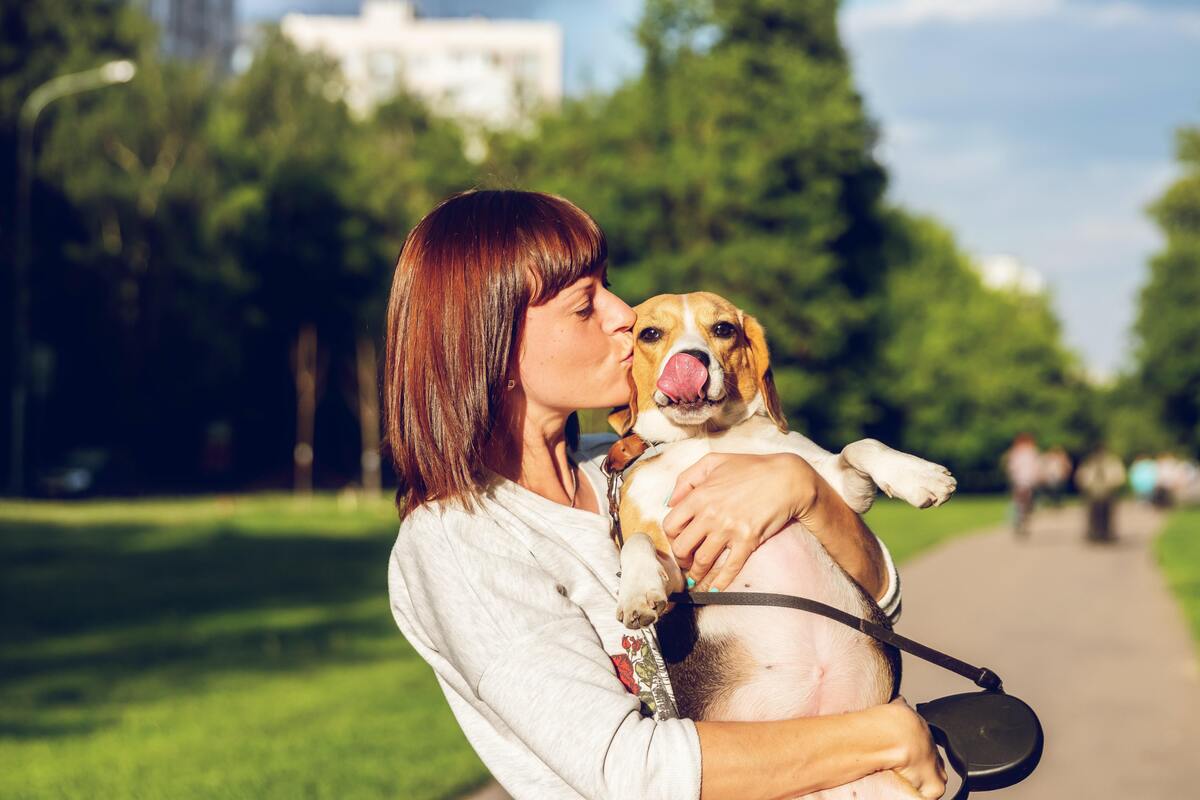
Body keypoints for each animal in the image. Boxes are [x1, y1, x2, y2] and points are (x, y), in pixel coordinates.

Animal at [609, 293, 955, 800]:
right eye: (650, 333)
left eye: (724, 329)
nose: (691, 361)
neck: (706, 438)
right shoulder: (676, 568)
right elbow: (635, 542)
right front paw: (637, 593)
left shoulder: (835, 487)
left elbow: (861, 445)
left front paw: (918, 476)